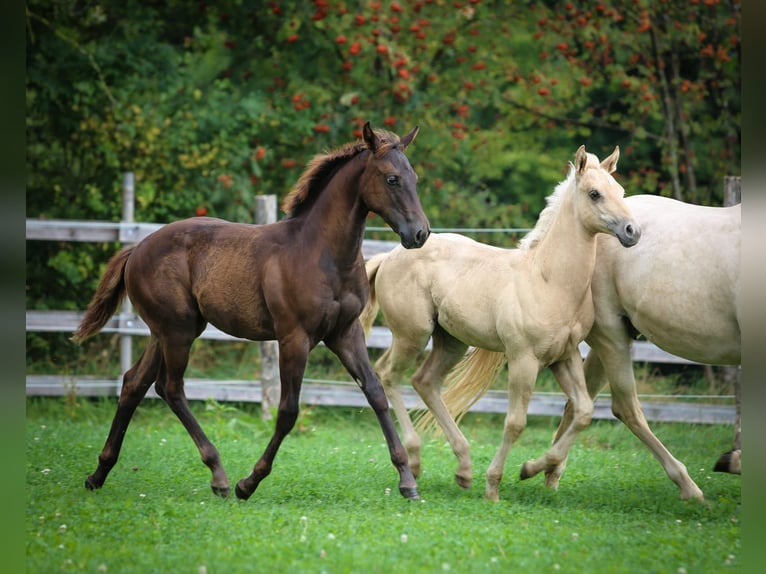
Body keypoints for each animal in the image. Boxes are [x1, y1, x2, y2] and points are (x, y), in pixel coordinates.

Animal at [72, 124, 432, 502]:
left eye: (414, 178)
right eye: (392, 179)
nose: (420, 233)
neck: (321, 253)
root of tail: (137, 248)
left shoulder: (344, 333)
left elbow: (375, 394)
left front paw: (407, 480)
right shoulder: (294, 338)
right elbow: (287, 411)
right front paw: (249, 482)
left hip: (165, 331)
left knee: (134, 383)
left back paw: (99, 473)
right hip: (178, 331)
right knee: (170, 387)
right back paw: (218, 475)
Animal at [362, 146, 640, 502]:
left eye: (620, 190)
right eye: (594, 193)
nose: (632, 231)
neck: (549, 280)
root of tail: (390, 256)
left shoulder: (565, 357)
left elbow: (583, 412)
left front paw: (531, 468)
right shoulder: (523, 359)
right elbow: (515, 423)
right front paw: (494, 485)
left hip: (451, 341)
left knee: (425, 382)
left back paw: (463, 469)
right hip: (412, 334)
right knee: (388, 375)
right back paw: (415, 461)